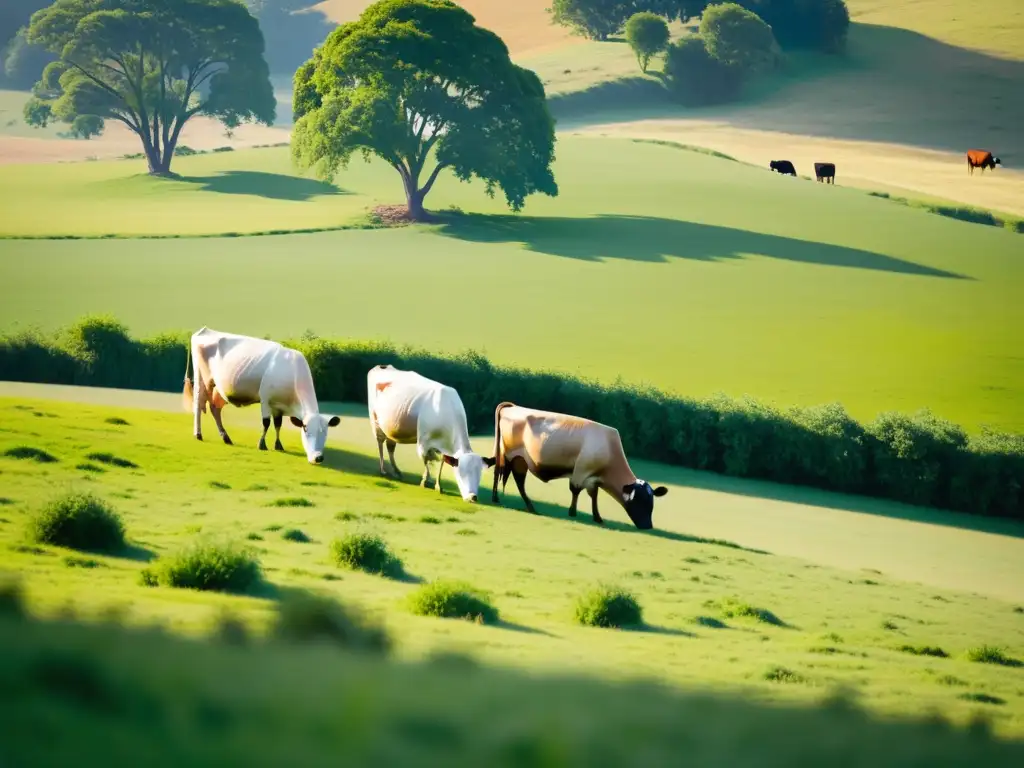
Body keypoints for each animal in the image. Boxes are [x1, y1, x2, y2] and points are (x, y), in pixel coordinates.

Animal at [182, 327, 342, 466]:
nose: (318, 457)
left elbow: (278, 425)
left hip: (219, 389)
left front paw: (278, 445)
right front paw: (262, 444)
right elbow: (266, 423)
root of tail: (204, 330)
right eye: (305, 429)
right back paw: (198, 434)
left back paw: (226, 437)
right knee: (198, 405)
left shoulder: (279, 407)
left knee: (215, 408)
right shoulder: (265, 399)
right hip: (202, 378)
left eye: (325, 432)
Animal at [368, 364, 495, 501]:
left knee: (390, 447)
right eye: (461, 474)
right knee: (380, 443)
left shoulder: (444, 447)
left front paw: (438, 485)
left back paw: (396, 471)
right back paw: (383, 470)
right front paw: (425, 480)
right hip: (375, 420)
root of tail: (383, 366)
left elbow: (442, 463)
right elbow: (426, 460)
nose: (473, 497)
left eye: (479, 475)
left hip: (391, 428)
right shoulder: (423, 442)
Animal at [491, 399, 667, 532]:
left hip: (520, 460)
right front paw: (572, 511)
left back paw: (530, 506)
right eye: (639, 501)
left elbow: (593, 495)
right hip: (505, 454)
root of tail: (513, 407)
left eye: (651, 502)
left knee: (519, 480)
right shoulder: (581, 470)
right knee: (499, 473)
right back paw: (496, 499)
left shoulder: (593, 478)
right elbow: (575, 490)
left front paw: (597, 517)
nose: (648, 526)